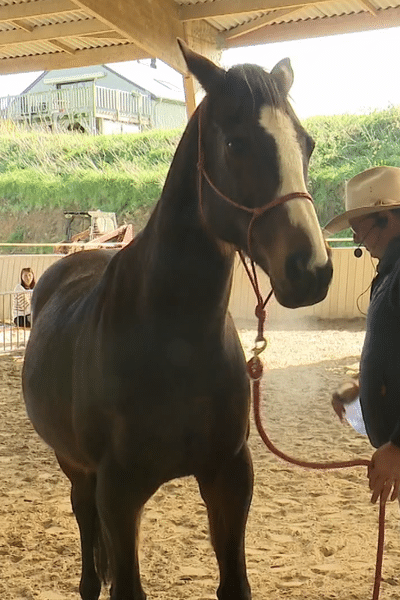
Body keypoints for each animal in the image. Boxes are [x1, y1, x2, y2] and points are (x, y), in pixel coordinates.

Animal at [23, 42, 332, 600]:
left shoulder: (229, 476)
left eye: (307, 144)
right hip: (75, 468)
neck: (173, 342)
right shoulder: (118, 492)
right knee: (84, 524)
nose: (312, 270)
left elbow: (234, 582)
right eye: (235, 142)